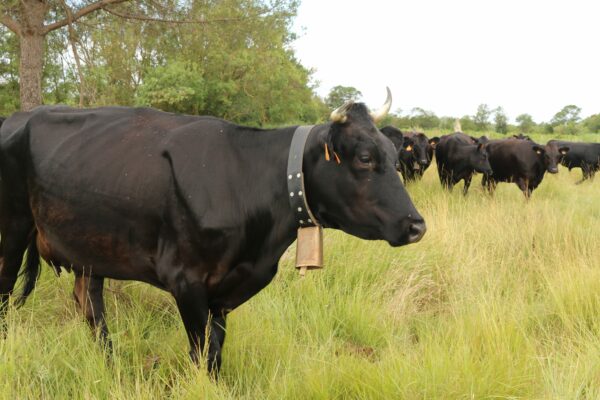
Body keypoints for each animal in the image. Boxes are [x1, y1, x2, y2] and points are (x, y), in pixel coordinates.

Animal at [0, 90, 426, 376]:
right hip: (12, 230)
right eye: (365, 158)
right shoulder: (185, 280)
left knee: (89, 305)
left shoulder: (224, 291)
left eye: (395, 154)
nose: (416, 225)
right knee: (6, 295)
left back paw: (110, 363)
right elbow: (202, 355)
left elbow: (216, 353)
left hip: (89, 248)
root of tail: (16, 117)